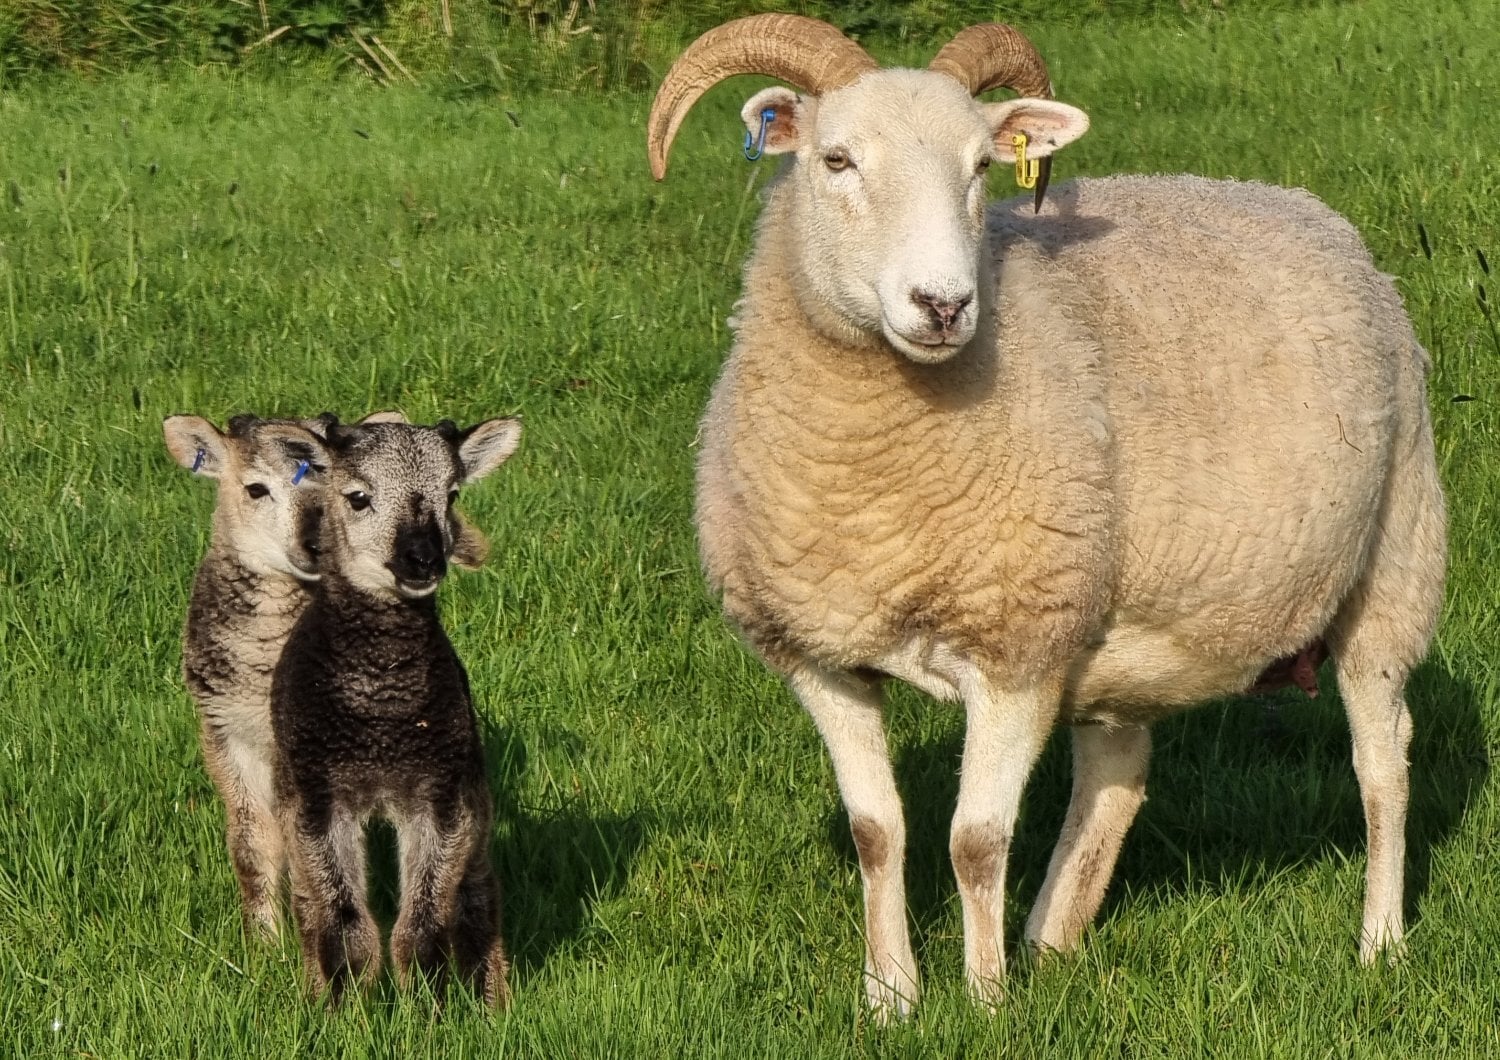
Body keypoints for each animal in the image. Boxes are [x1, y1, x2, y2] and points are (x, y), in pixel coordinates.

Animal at [270, 417, 520, 1007]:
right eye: (357, 497)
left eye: (451, 495)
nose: (424, 558)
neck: (382, 717)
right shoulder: (317, 794)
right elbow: (340, 918)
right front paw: (341, 1005)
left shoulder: (440, 793)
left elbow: (424, 920)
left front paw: (428, 1003)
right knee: (308, 903)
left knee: (477, 891)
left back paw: (490, 996)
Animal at [647, 15, 1447, 1016]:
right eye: (836, 160)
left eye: (981, 168)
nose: (943, 305)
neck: (874, 486)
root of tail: (1309, 210)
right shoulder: (820, 657)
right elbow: (877, 831)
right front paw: (889, 998)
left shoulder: (1016, 647)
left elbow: (974, 840)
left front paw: (984, 1001)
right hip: (1115, 624)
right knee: (1118, 771)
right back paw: (1053, 940)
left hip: (1394, 563)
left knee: (1384, 765)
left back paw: (1380, 943)